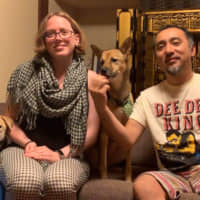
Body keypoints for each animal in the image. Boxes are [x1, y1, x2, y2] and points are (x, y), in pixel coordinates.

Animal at [90, 36, 133, 180]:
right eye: (101, 62)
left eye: (114, 60)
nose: (103, 70)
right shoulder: (104, 135)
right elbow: (103, 163)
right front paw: (104, 179)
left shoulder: (127, 133)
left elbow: (128, 164)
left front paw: (128, 179)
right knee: (100, 164)